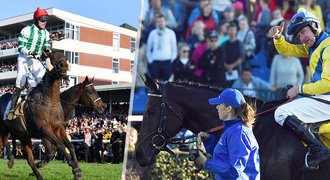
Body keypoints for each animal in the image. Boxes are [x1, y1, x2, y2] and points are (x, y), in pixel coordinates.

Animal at [0, 51, 81, 179]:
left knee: (29, 159)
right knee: (4, 141)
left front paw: (77, 170)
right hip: (4, 129)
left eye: (65, 56)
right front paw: (73, 166)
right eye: (52, 57)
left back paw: (38, 175)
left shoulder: (58, 128)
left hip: (23, 136)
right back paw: (11, 161)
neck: (50, 102)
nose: (63, 65)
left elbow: (70, 145)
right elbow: (60, 145)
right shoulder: (44, 129)